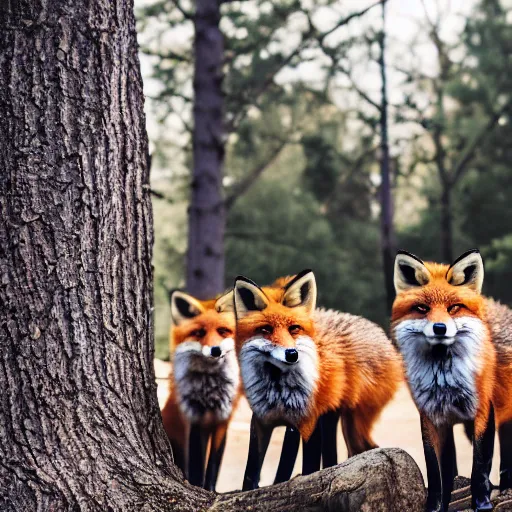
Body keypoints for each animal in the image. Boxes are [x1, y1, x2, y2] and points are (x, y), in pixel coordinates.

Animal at [160, 290, 240, 490]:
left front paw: (210, 489)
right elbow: (197, 462)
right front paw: (197, 485)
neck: (209, 390)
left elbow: (213, 464)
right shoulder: (195, 418)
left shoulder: (223, 420)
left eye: (222, 331)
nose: (215, 350)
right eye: (199, 333)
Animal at [233, 270, 404, 490]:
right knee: (335, 457)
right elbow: (251, 473)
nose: (292, 354)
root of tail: (382, 336)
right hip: (333, 420)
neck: (277, 390)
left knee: (367, 448)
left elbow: (304, 469)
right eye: (266, 330)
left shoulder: (305, 424)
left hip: (352, 423)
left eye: (294, 328)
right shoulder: (262, 421)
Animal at [392, 249, 512, 512]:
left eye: (454, 307)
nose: (440, 328)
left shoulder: (482, 412)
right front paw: (437, 507)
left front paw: (482, 504)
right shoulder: (432, 418)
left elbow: (480, 466)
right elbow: (437, 471)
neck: (445, 381)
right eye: (422, 308)